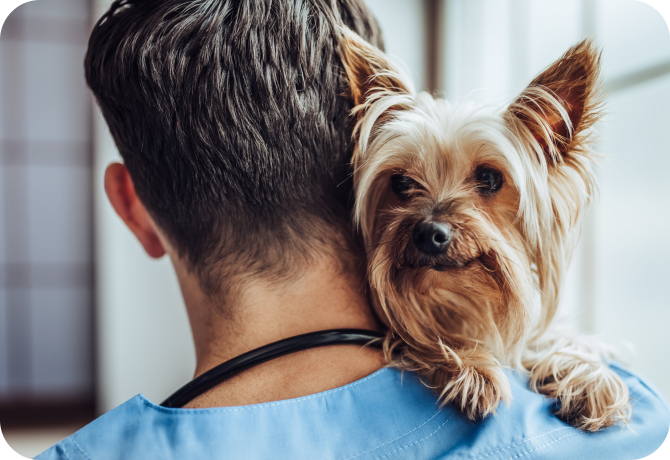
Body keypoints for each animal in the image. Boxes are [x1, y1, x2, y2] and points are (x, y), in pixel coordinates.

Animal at [342, 26, 636, 432]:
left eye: (489, 178)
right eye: (401, 182)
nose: (429, 233)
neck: (461, 299)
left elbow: (556, 339)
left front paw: (589, 377)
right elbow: (424, 339)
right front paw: (473, 368)